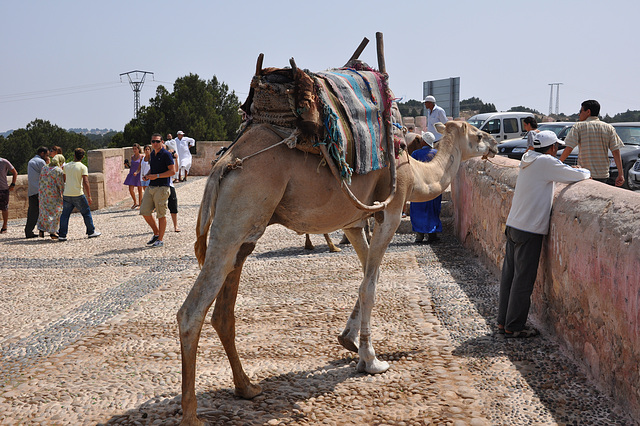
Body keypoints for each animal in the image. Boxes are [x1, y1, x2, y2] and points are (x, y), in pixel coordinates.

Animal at [178, 117, 498, 426]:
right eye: (478, 134)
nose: (496, 144)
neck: (417, 175)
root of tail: (223, 164)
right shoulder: (391, 212)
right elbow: (369, 286)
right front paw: (371, 360)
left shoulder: (354, 222)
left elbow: (370, 276)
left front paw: (349, 340)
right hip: (240, 213)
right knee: (191, 311)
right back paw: (191, 415)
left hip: (247, 231)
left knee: (223, 312)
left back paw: (247, 387)